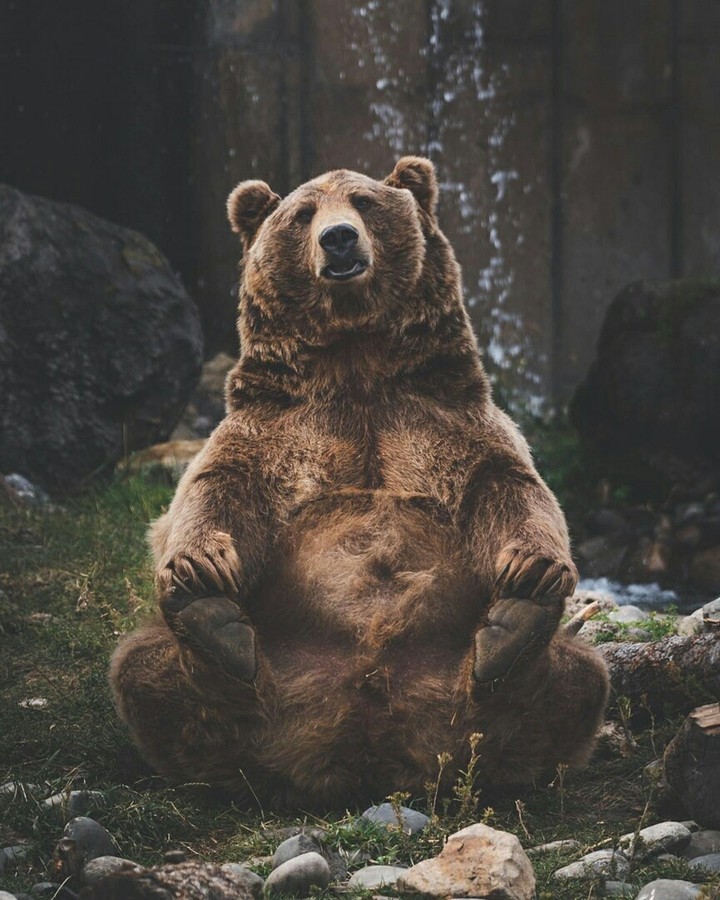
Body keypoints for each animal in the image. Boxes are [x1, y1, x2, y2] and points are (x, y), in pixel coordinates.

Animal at [110, 157, 609, 808]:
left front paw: (533, 569)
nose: (339, 238)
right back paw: (216, 633)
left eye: (365, 202)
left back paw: (513, 632)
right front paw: (199, 567)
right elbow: (216, 490)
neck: (356, 364)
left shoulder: (446, 421)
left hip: (457, 677)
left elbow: (510, 488)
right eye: (302, 214)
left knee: (579, 680)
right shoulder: (273, 431)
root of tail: (357, 741)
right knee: (143, 671)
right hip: (274, 668)